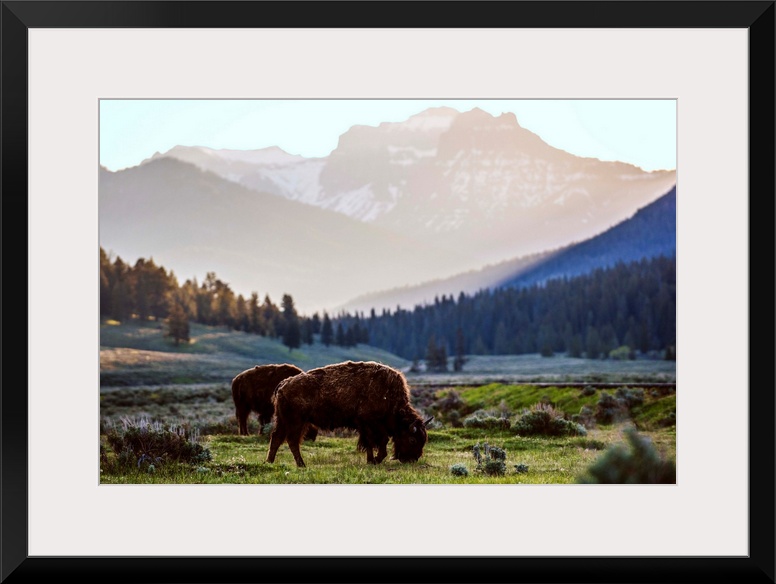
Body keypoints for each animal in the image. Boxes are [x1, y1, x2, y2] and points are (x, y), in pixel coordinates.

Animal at [264, 358, 428, 468]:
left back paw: (270, 462)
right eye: (412, 440)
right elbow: (377, 443)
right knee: (291, 440)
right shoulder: (370, 425)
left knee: (277, 438)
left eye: (423, 440)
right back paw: (301, 464)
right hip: (296, 422)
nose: (412, 459)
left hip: (285, 421)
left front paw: (371, 460)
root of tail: (283, 384)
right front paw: (374, 460)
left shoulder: (366, 427)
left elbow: (373, 444)